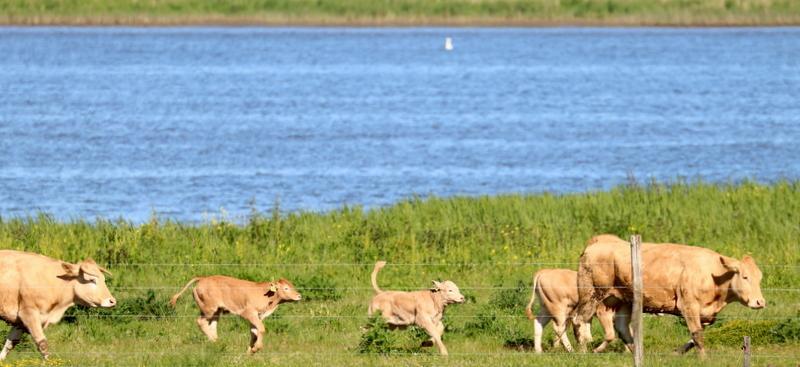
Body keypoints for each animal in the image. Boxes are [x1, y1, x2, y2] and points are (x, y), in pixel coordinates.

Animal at [170, 278, 302, 356]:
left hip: (216, 312)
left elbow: (254, 333)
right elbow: (261, 329)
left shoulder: (257, 317)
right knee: (200, 322)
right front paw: (256, 349)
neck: (265, 294)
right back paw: (215, 341)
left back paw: (217, 342)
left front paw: (249, 352)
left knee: (212, 325)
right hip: (209, 309)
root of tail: (202, 278)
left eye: (292, 285)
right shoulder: (249, 313)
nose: (299, 296)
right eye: (286, 288)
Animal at [572, 234, 764, 358]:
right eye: (745, 277)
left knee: (620, 327)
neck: (712, 274)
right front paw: (704, 359)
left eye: (759, 277)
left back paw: (634, 351)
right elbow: (697, 335)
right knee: (579, 320)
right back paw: (583, 351)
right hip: (592, 294)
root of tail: (594, 245)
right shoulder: (688, 306)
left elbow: (695, 336)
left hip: (623, 300)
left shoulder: (705, 313)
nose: (760, 302)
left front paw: (678, 351)